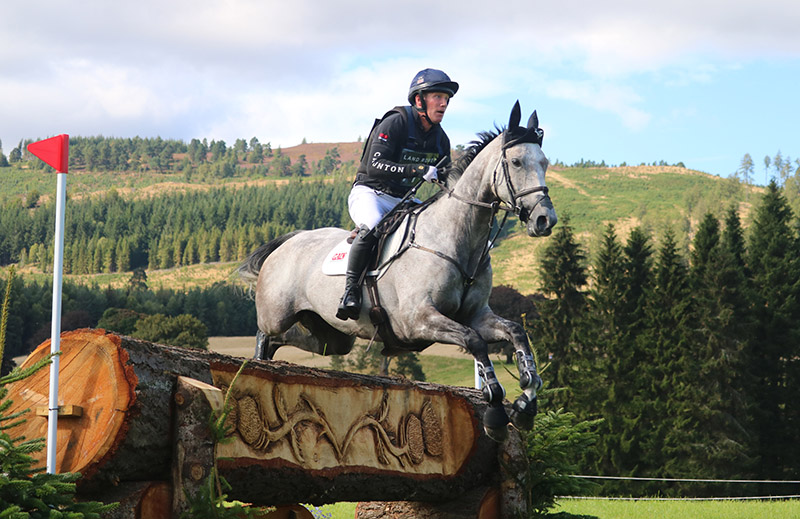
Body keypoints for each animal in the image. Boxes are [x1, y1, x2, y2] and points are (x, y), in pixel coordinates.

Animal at [237, 101, 557, 441]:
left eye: (545, 162)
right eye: (516, 161)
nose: (544, 220)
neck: (459, 238)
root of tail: (289, 240)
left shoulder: (476, 315)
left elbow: (516, 333)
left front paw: (526, 402)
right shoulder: (418, 320)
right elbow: (474, 342)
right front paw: (496, 413)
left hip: (332, 335)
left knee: (295, 341)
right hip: (277, 314)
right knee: (266, 332)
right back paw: (258, 364)